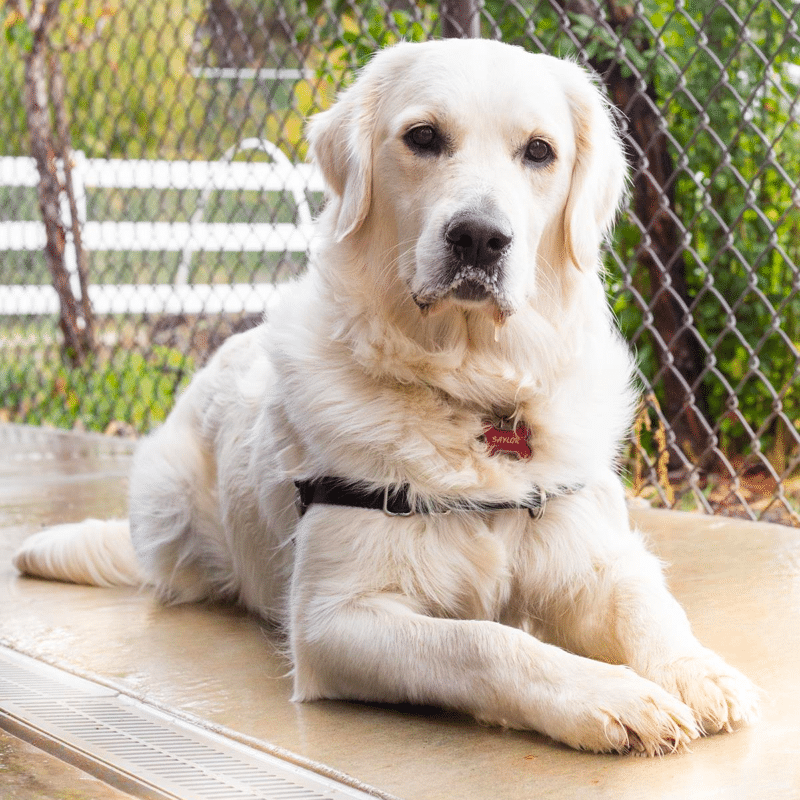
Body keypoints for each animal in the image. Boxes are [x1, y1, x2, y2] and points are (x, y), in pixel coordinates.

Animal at [15, 39, 760, 756]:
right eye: (423, 137)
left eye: (539, 151)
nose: (479, 237)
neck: (470, 392)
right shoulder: (333, 621)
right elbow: (486, 641)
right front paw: (610, 697)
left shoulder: (592, 556)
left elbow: (646, 607)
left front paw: (697, 671)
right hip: (169, 503)